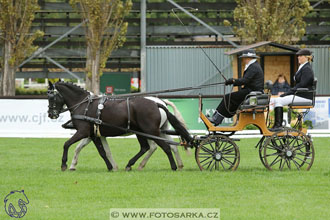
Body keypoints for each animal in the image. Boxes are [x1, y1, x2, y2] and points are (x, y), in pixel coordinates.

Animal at [47, 81, 192, 171]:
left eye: (51, 97)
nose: (51, 114)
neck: (84, 105)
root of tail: (157, 103)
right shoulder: (93, 135)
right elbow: (102, 151)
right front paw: (111, 167)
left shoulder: (83, 132)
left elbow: (67, 144)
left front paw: (65, 164)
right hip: (150, 131)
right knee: (153, 147)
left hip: (151, 131)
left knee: (163, 147)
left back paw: (172, 166)